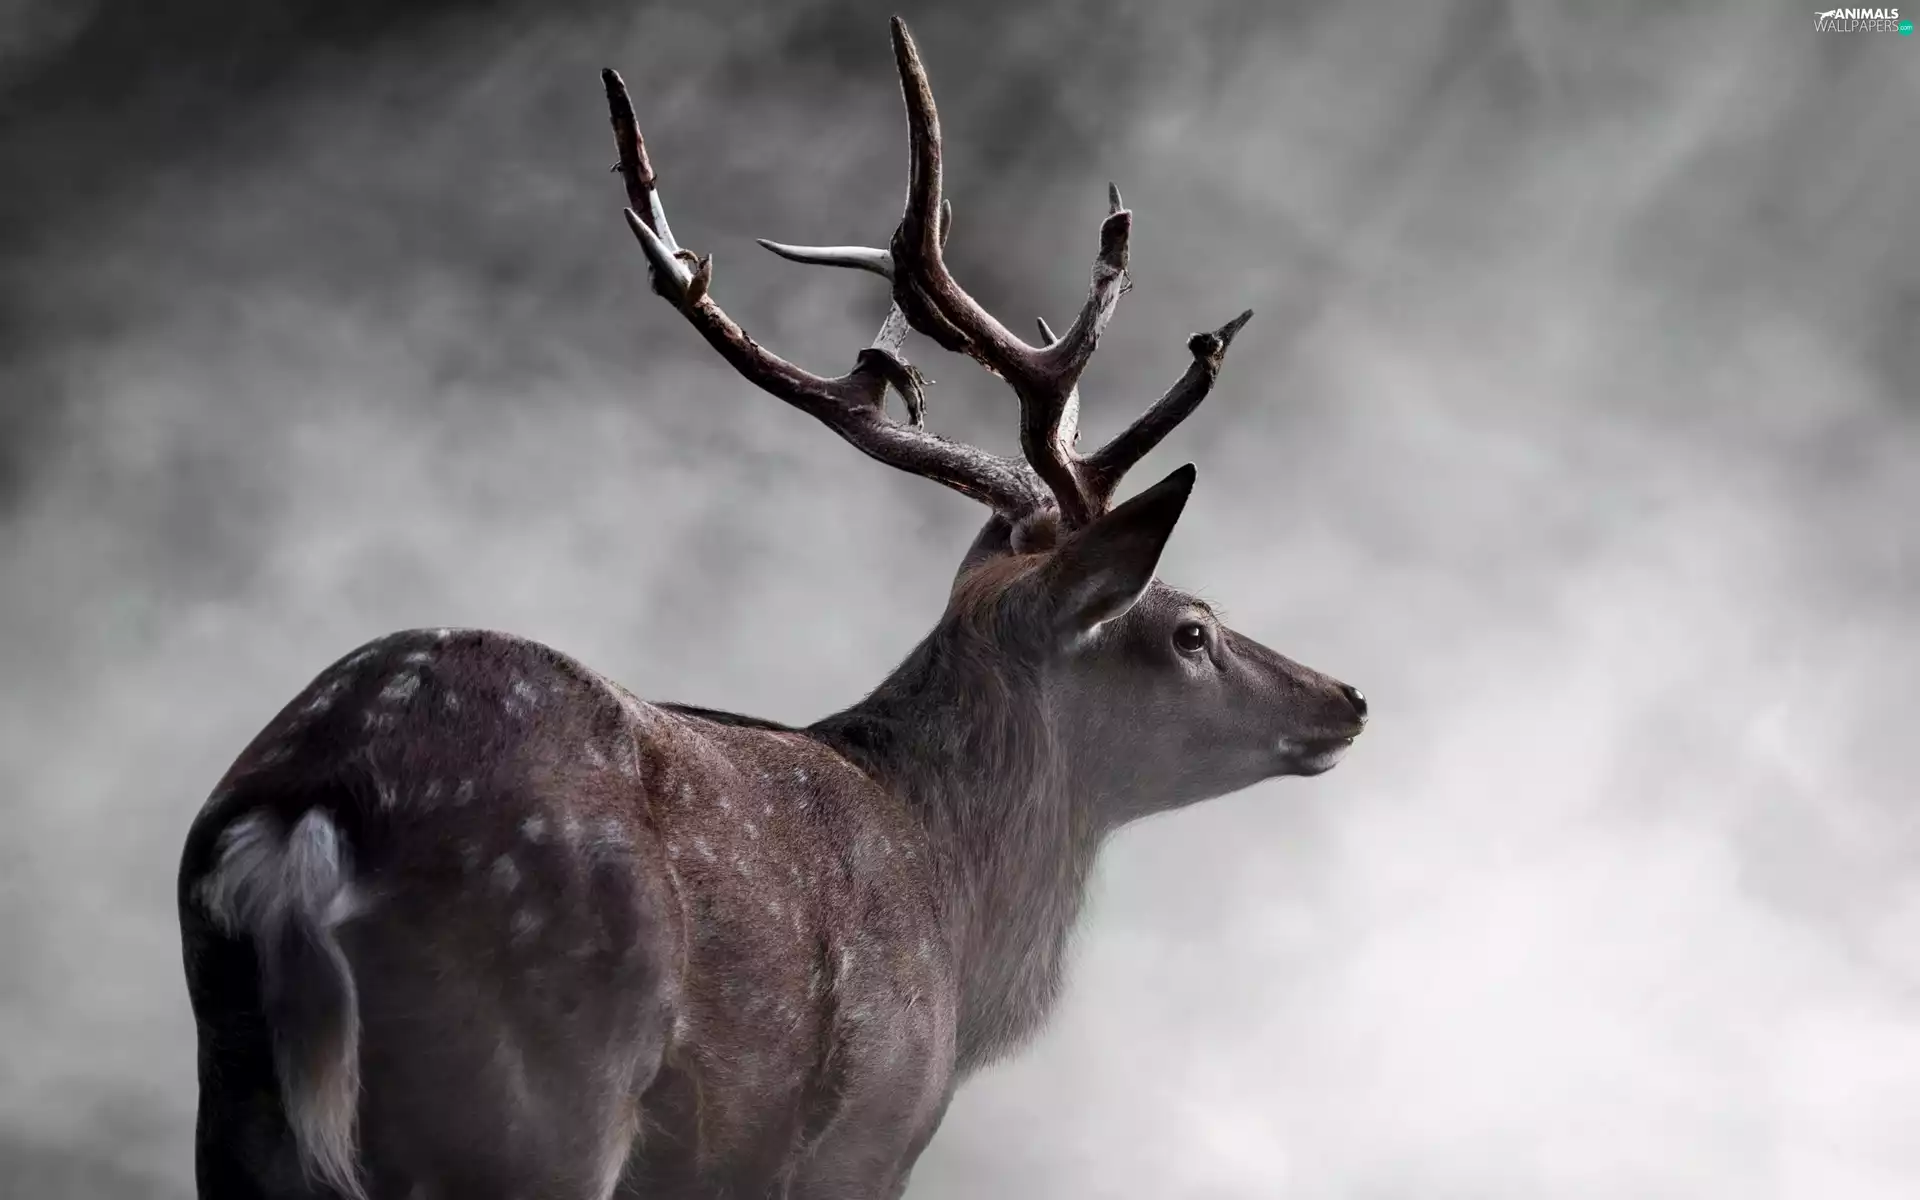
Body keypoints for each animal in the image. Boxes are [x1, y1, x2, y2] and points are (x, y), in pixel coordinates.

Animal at [176, 17, 1367, 1200]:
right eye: (1191, 630)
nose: (1345, 698)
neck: (959, 909)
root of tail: (312, 802)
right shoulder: (870, 1126)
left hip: (239, 1101)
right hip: (532, 1081)